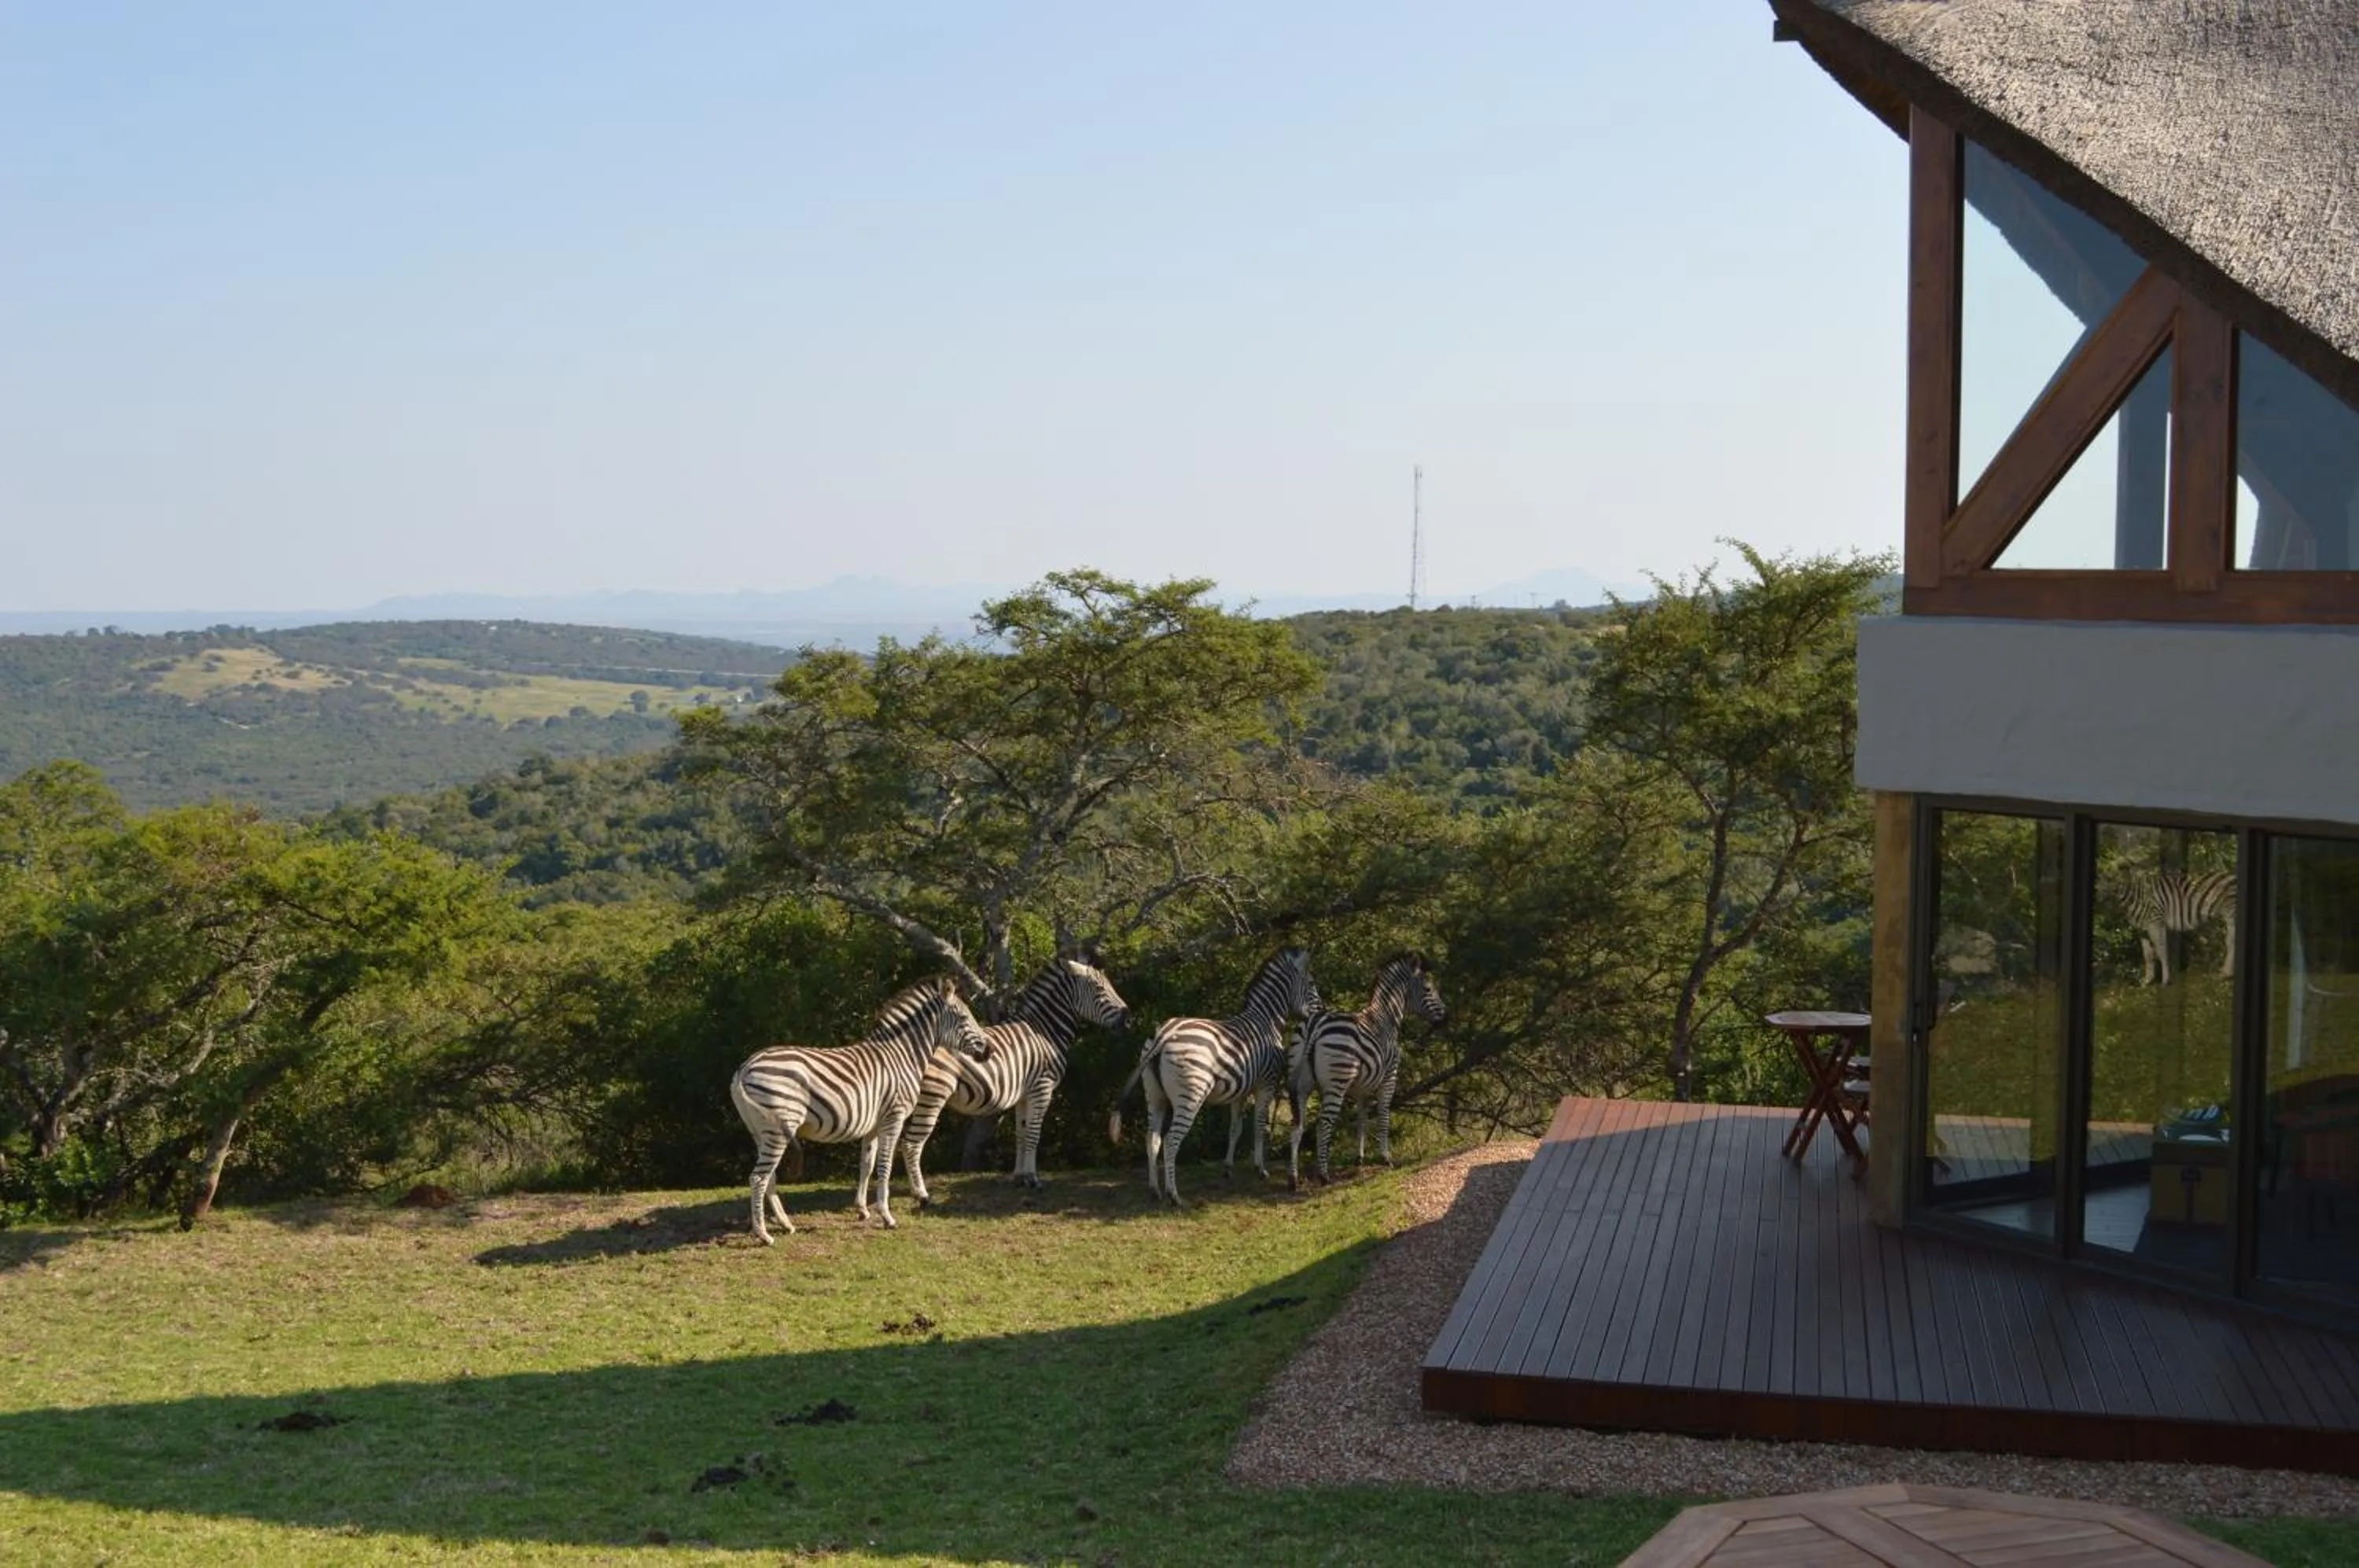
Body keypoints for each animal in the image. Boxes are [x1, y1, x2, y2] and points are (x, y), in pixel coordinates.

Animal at [728, 975, 993, 1245]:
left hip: (761, 1131)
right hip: (780, 1126)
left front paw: (863, 1210)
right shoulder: (894, 1117)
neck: (902, 1056)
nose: (989, 1051)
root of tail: (744, 1068)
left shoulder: (873, 1124)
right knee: (758, 1178)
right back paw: (764, 1235)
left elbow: (867, 1164)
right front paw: (887, 1217)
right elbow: (885, 1165)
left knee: (769, 1176)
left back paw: (785, 1224)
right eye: (964, 1018)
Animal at [896, 951, 1133, 1205]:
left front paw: (1020, 1177)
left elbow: (1022, 1133)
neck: (1044, 1032)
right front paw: (1033, 1180)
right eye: (1099, 989)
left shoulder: (1024, 1095)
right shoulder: (1042, 1088)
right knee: (911, 1143)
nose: (1129, 1019)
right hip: (933, 1095)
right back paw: (920, 1194)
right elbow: (1034, 1135)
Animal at [1107, 946, 1322, 1205]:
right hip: (1190, 1095)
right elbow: (1259, 1125)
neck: (1266, 1021)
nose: (1322, 1010)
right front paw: (1260, 1169)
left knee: (1152, 1139)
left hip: (1155, 1095)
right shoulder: (1266, 1084)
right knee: (1170, 1141)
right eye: (1311, 983)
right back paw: (1174, 1196)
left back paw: (1155, 1190)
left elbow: (1235, 1129)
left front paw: (1228, 1168)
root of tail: (1164, 1033)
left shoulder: (1240, 1090)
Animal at [1285, 953, 1448, 1188]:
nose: (1447, 1018)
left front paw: (1359, 1158)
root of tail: (1315, 1023)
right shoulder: (1390, 1077)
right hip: (1336, 1083)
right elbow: (1383, 1116)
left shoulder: (1362, 1087)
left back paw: (1293, 1179)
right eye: (1428, 989)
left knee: (1297, 1126)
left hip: (1301, 1085)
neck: (1386, 1018)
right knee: (1323, 1125)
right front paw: (1386, 1158)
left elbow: (1361, 1120)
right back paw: (1324, 1176)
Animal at [2119, 868, 2237, 985]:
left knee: (2231, 942)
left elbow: (2162, 951)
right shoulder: (2142, 930)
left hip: (2231, 914)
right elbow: (2148, 955)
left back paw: (2226, 974)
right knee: (2230, 941)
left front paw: (2165, 981)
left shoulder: (2156, 923)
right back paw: (2225, 974)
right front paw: (2147, 981)